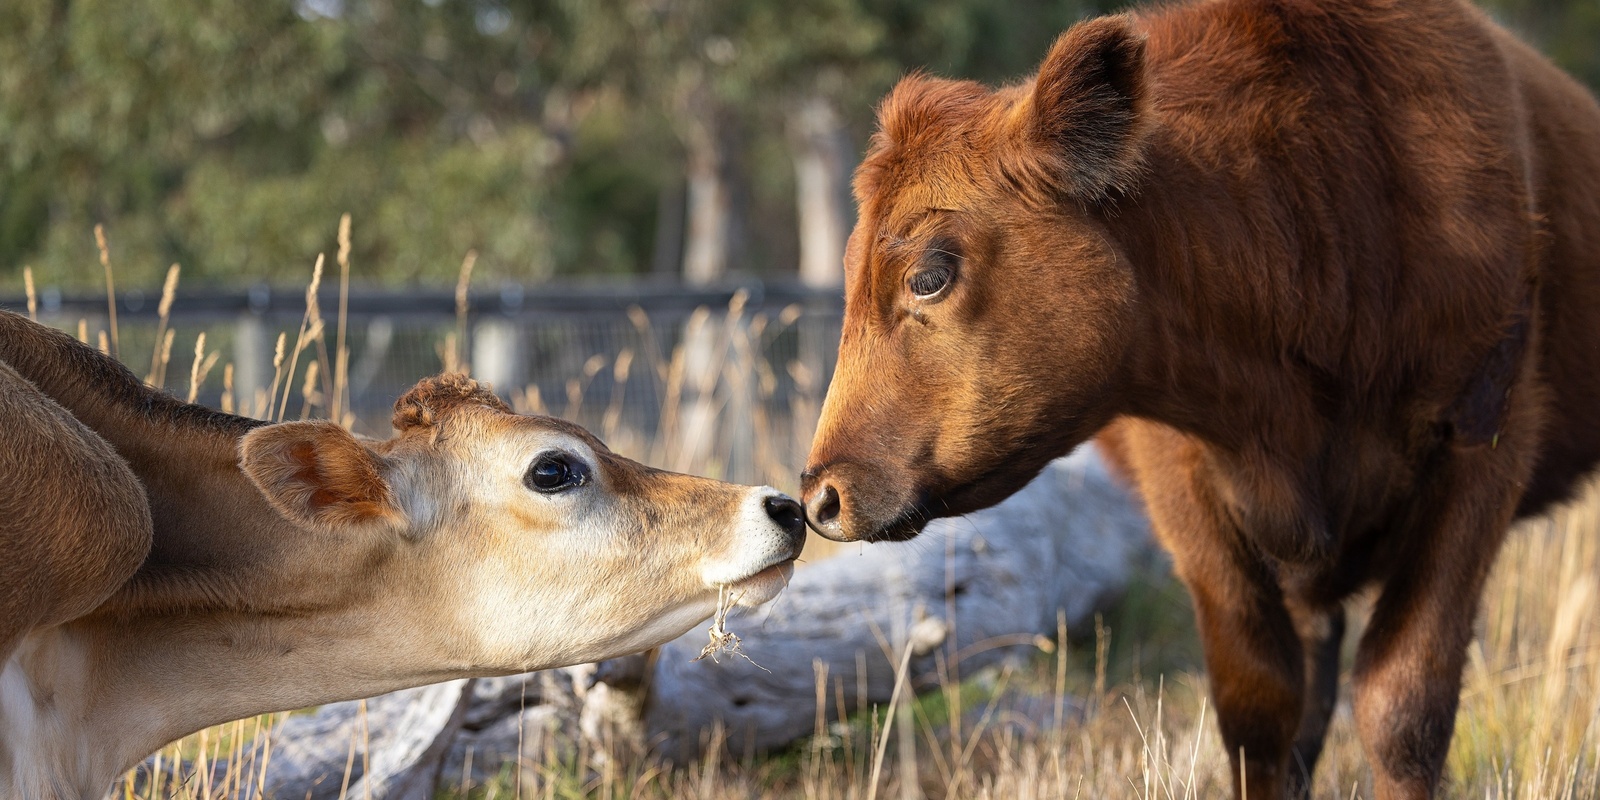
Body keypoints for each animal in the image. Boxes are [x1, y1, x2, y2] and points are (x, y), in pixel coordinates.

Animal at [806, 3, 1600, 796]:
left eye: (929, 276)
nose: (822, 496)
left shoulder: (1482, 447)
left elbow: (1404, 704)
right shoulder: (1183, 486)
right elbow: (1259, 706)